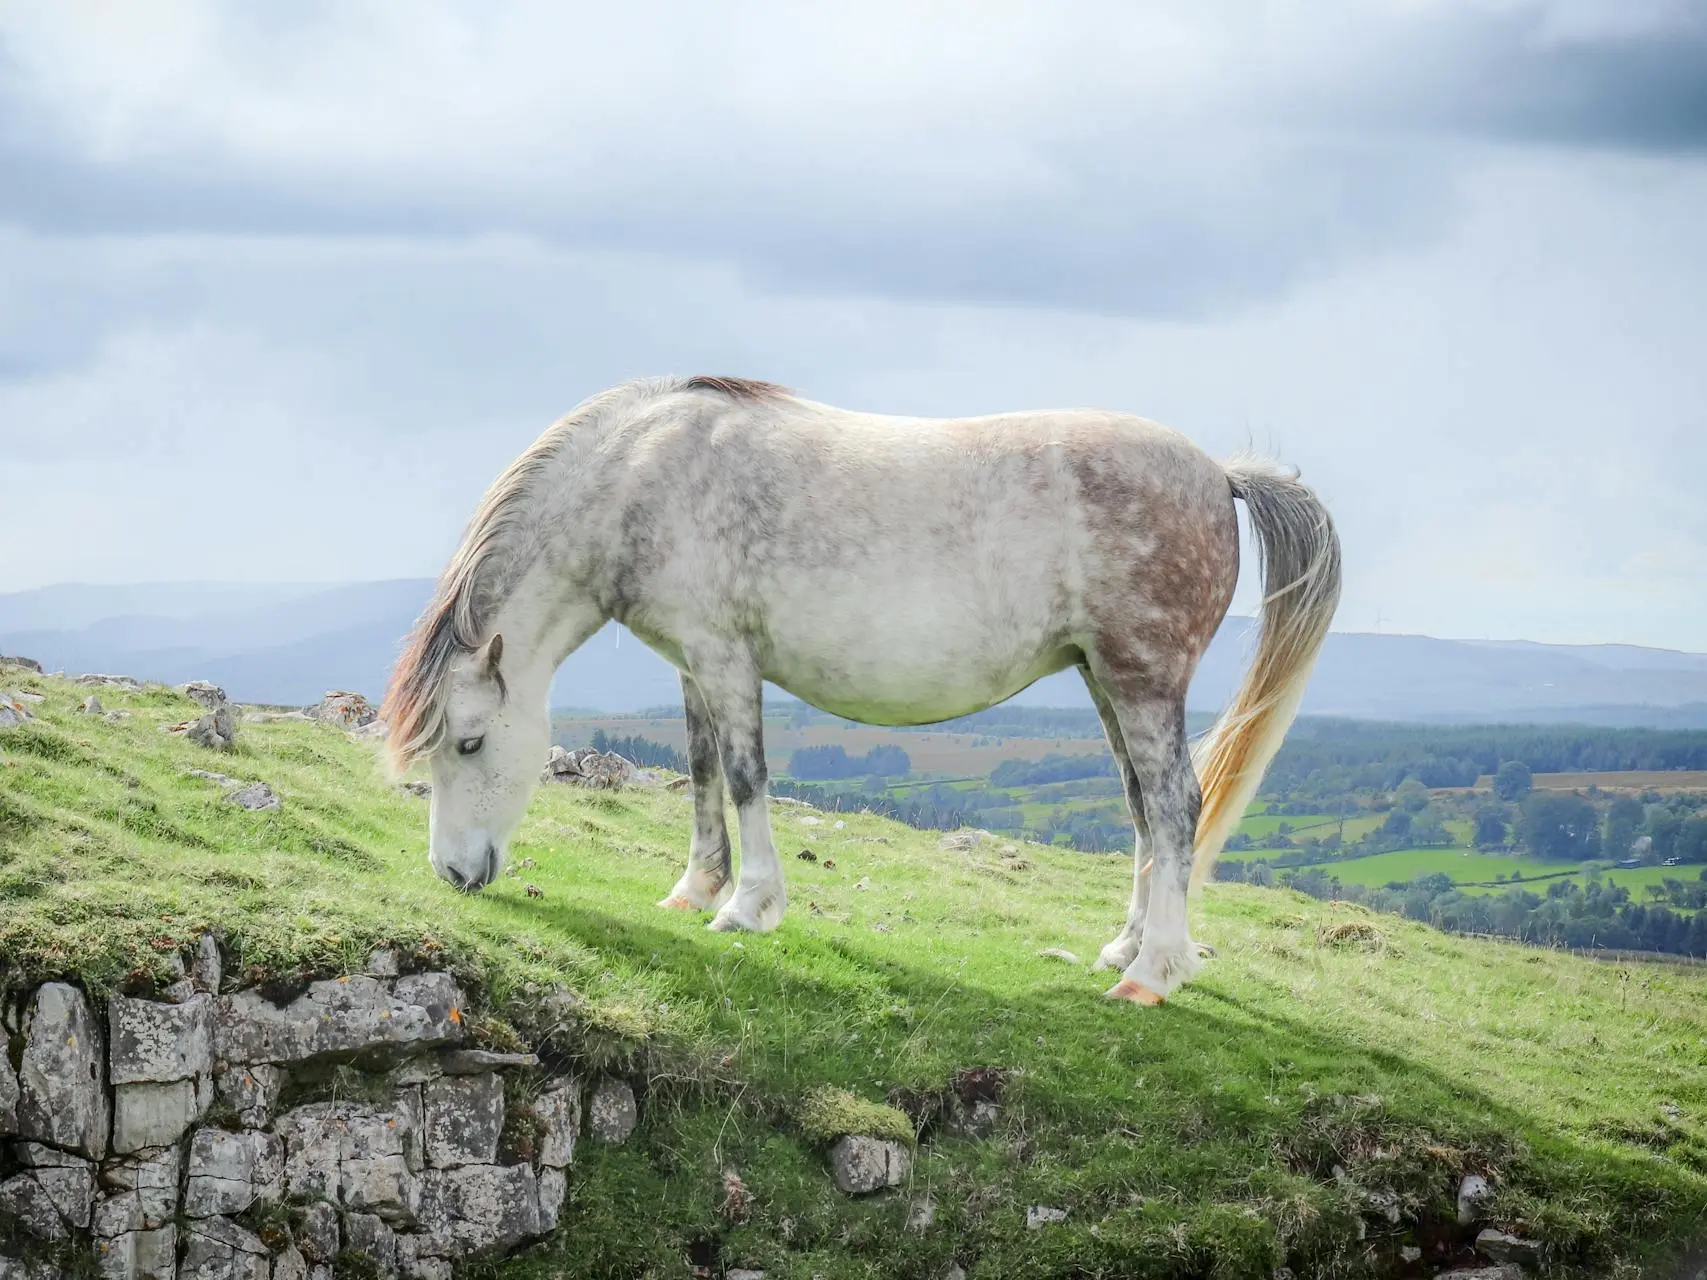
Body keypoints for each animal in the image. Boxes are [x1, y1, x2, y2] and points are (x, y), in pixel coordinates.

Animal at [380, 375, 1338, 1010]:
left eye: (470, 741)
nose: (454, 873)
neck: (641, 478)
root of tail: (1217, 473)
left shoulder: (727, 660)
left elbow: (745, 779)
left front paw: (748, 907)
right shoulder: (691, 664)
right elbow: (700, 776)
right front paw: (695, 889)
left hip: (1141, 680)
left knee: (1176, 807)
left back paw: (1153, 973)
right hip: (1107, 681)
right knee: (1146, 810)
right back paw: (1126, 947)